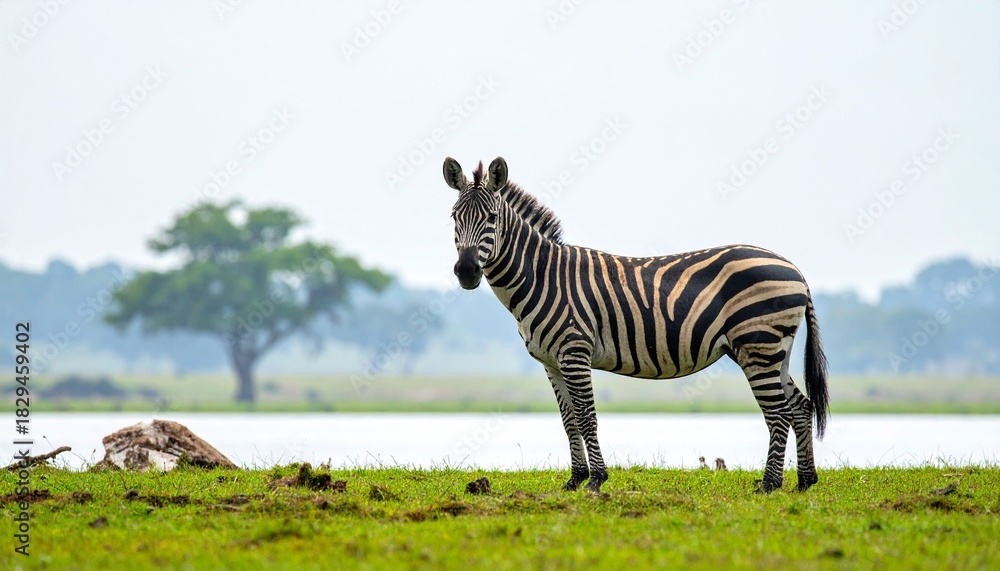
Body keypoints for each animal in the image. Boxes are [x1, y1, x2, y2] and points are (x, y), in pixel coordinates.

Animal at [443, 156, 830, 494]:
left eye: (492, 217)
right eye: (453, 217)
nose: (466, 271)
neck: (542, 277)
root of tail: (795, 269)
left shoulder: (574, 352)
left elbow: (586, 416)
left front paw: (596, 480)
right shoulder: (551, 361)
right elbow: (568, 420)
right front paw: (574, 480)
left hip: (757, 345)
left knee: (778, 414)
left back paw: (769, 484)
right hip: (774, 349)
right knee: (800, 408)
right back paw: (804, 482)